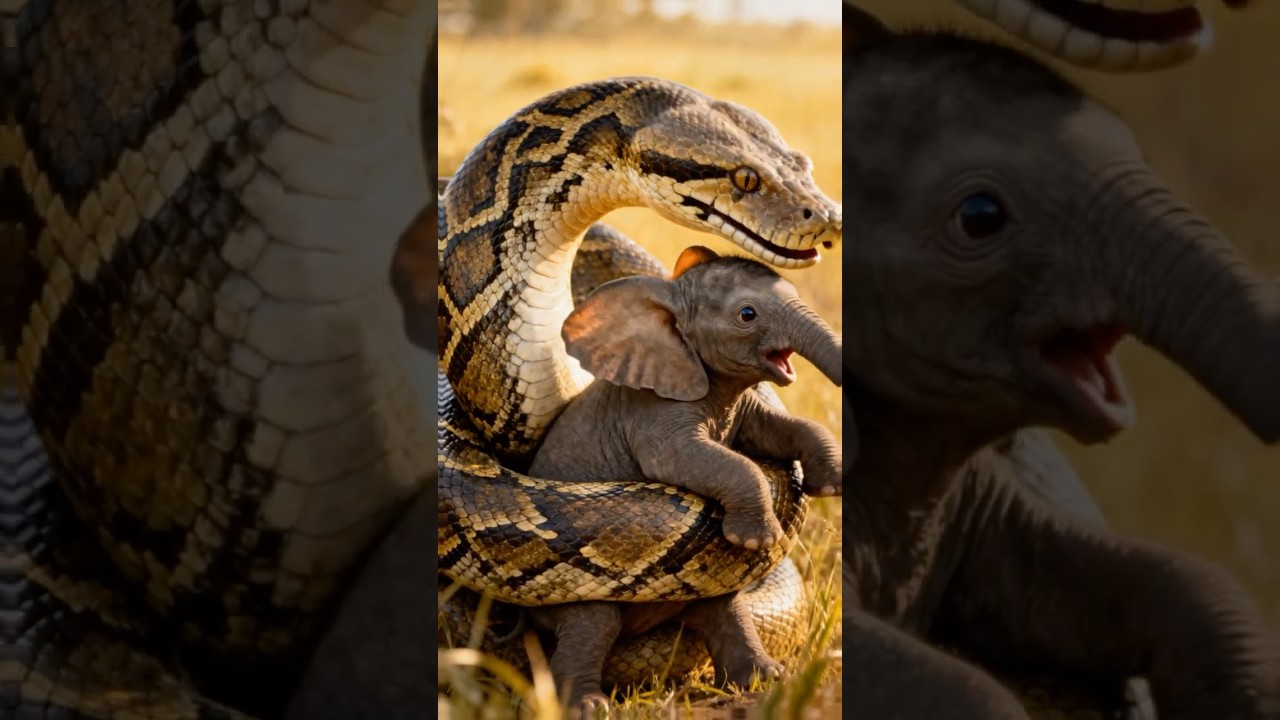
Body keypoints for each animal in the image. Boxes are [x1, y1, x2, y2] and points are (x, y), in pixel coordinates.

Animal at [521, 244, 844, 710]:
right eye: (747, 315)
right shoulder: (651, 412)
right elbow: (702, 460)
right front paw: (759, 540)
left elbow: (780, 429)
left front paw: (829, 484)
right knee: (594, 621)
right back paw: (588, 706)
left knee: (720, 607)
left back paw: (765, 680)